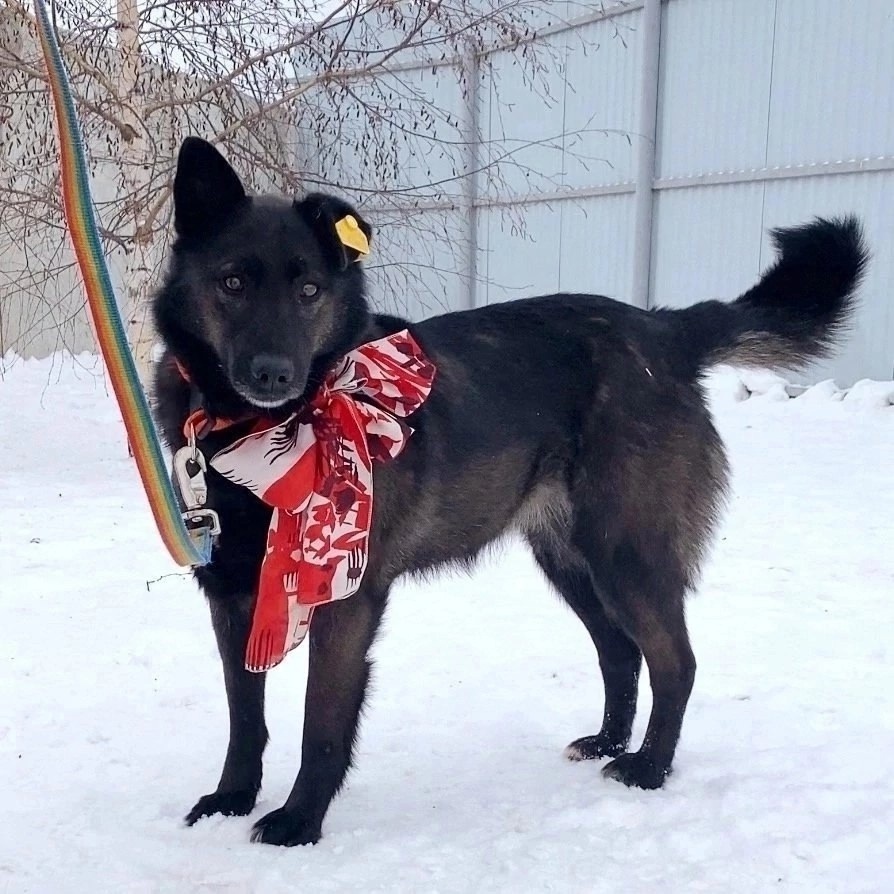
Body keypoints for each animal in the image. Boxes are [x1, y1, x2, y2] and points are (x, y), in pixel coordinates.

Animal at [152, 136, 868, 852]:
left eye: (308, 291)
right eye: (232, 282)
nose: (273, 374)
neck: (253, 427)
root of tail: (665, 333)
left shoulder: (343, 598)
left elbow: (321, 725)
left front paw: (299, 822)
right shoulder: (232, 597)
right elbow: (245, 717)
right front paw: (231, 798)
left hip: (625, 556)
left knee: (676, 662)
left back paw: (649, 768)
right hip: (572, 562)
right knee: (620, 651)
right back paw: (609, 743)